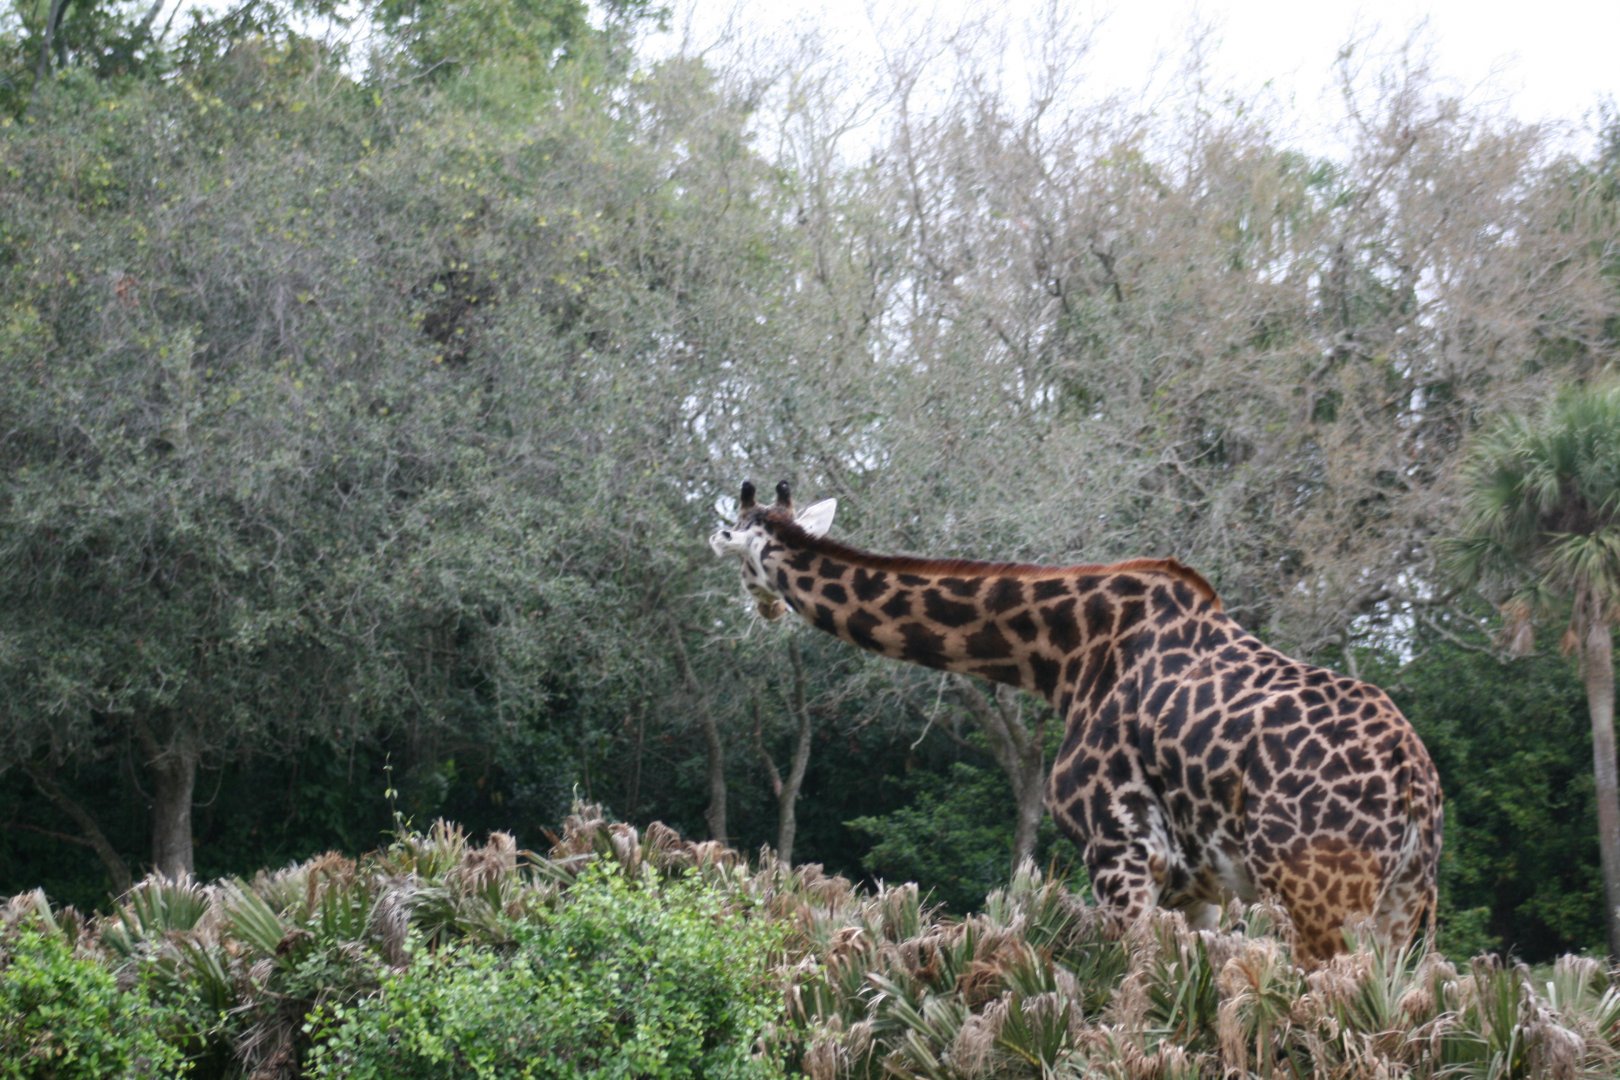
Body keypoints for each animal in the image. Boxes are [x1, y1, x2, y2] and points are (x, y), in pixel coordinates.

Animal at [709, 480, 1442, 964]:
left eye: (738, 556)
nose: (760, 611)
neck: (1065, 655)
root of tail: (1414, 783)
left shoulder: (1121, 854)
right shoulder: (1196, 887)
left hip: (1319, 899)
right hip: (1406, 907)